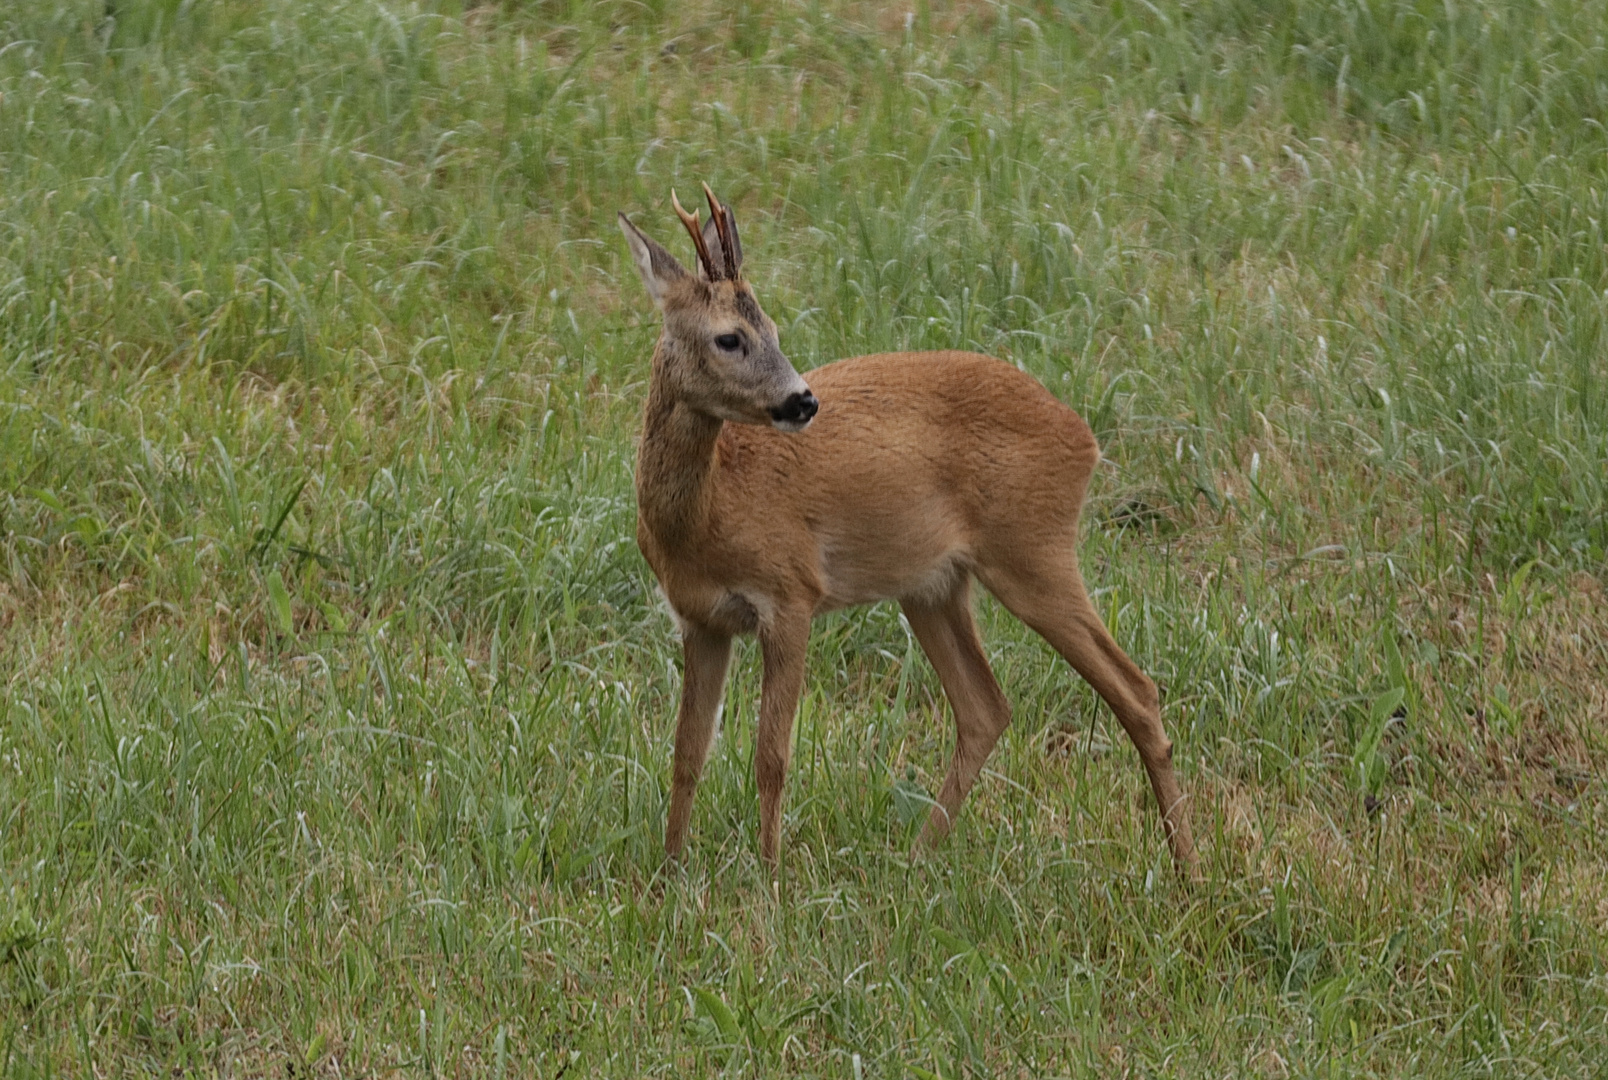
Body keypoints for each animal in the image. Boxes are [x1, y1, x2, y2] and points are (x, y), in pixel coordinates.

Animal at [620, 185, 1202, 874]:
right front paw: (668, 873)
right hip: (932, 586)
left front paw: (771, 875)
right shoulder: (701, 619)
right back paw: (917, 857)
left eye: (776, 331)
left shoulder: (791, 594)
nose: (803, 401)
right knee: (985, 708)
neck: (706, 515)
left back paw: (1188, 867)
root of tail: (1085, 438)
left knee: (1136, 690)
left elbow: (771, 756)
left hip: (1033, 552)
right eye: (730, 338)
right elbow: (686, 753)